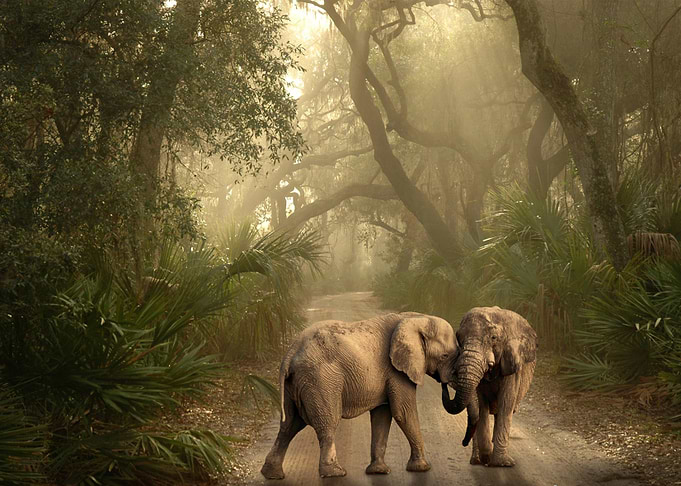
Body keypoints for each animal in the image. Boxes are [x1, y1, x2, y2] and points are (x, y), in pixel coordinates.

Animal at [261, 312, 458, 479]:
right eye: (444, 356)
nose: (445, 384)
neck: (416, 318)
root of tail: (290, 353)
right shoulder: (397, 371)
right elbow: (403, 412)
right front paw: (423, 468)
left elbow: (382, 415)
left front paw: (378, 471)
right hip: (320, 380)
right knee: (327, 423)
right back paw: (335, 473)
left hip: (295, 385)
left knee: (289, 425)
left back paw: (272, 475)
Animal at [441, 306, 537, 467]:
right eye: (459, 338)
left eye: (493, 338)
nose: (463, 443)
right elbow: (481, 405)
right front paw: (487, 457)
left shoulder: (511, 363)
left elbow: (506, 403)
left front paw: (502, 464)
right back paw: (476, 460)